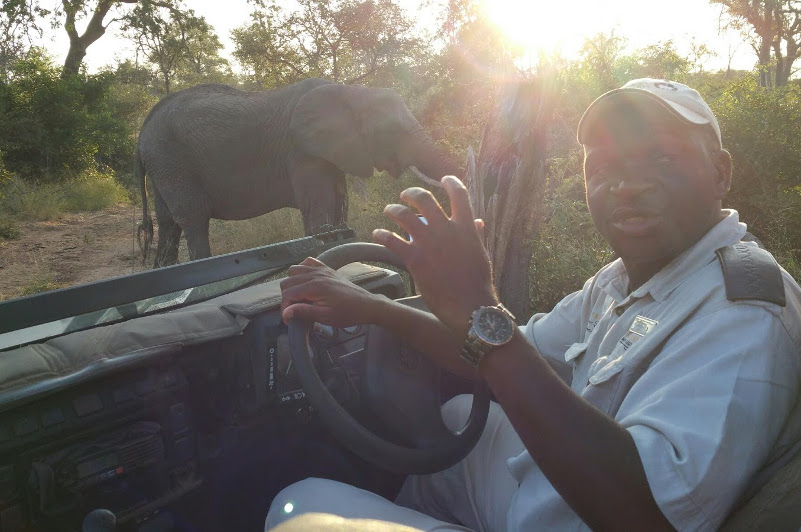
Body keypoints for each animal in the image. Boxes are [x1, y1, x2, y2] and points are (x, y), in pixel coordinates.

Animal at [135, 77, 460, 268]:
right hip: (172, 162)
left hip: (164, 167)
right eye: (390, 130)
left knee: (168, 225)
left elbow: (338, 206)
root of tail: (142, 132)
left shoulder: (329, 153)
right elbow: (320, 206)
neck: (350, 92)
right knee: (193, 220)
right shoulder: (301, 151)